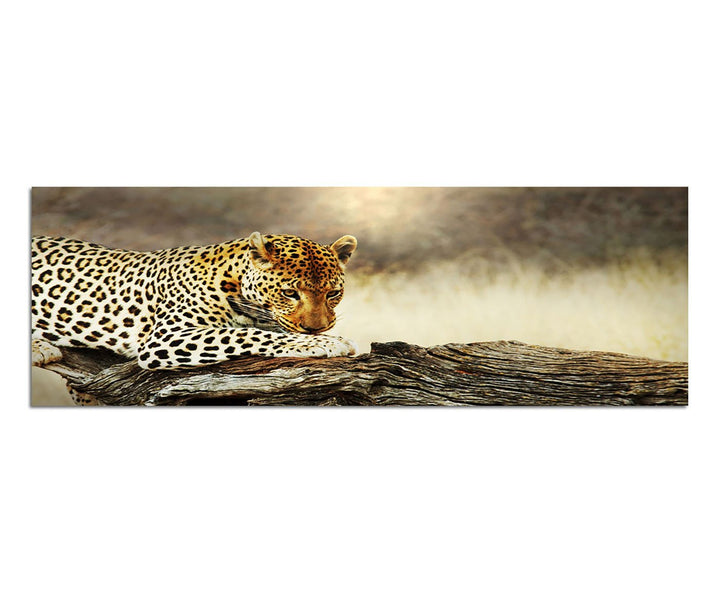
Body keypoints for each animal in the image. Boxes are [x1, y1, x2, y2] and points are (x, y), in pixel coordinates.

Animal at [31, 232, 358, 389]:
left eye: (333, 293)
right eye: (290, 293)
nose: (317, 328)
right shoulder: (165, 337)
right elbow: (245, 335)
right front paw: (328, 343)